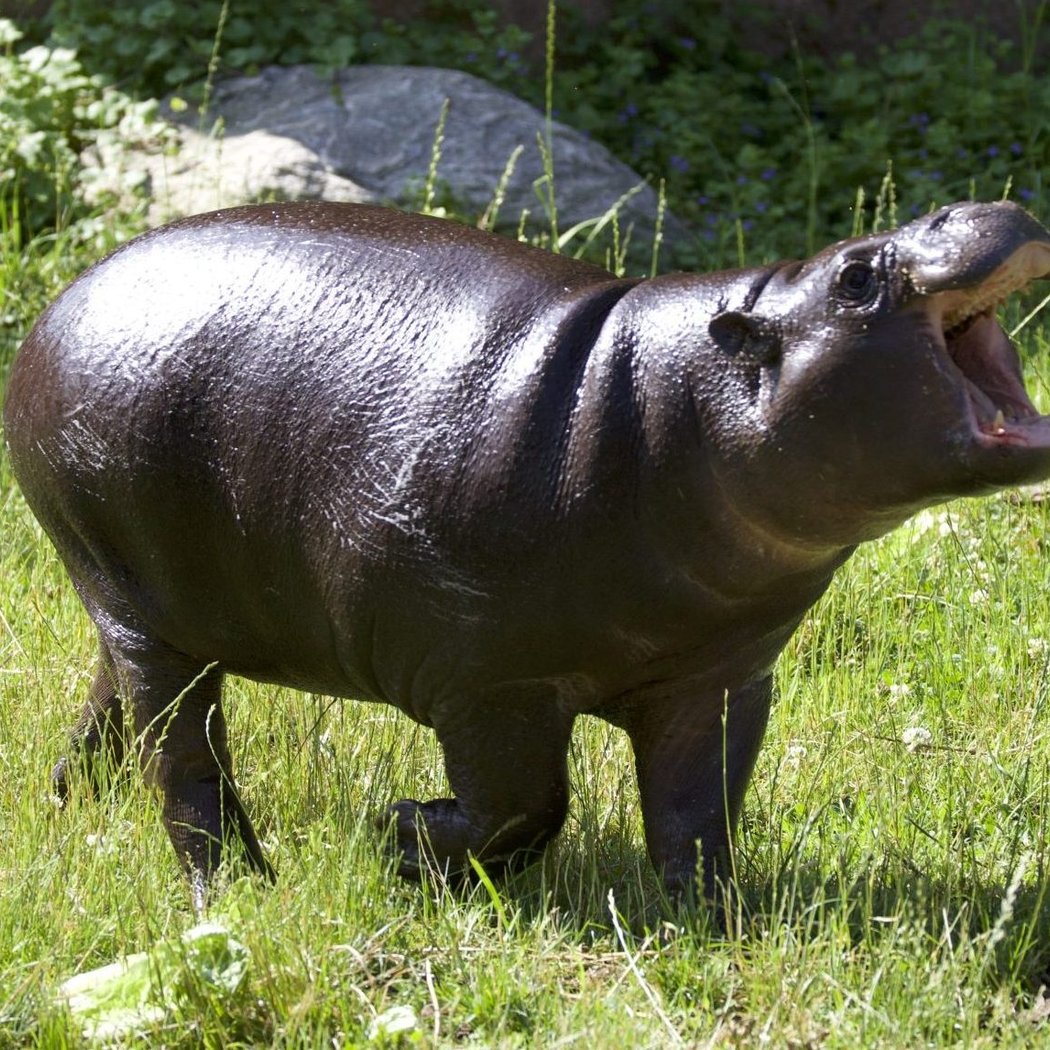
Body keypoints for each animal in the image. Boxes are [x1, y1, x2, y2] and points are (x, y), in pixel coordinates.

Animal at [5, 200, 1050, 911]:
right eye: (857, 275)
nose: (983, 206)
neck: (686, 406)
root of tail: (60, 304)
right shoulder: (484, 680)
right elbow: (527, 804)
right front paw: (400, 834)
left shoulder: (719, 676)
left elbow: (698, 814)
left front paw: (712, 926)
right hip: (139, 603)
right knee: (186, 765)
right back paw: (236, 894)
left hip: (152, 605)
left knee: (116, 708)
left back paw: (66, 802)